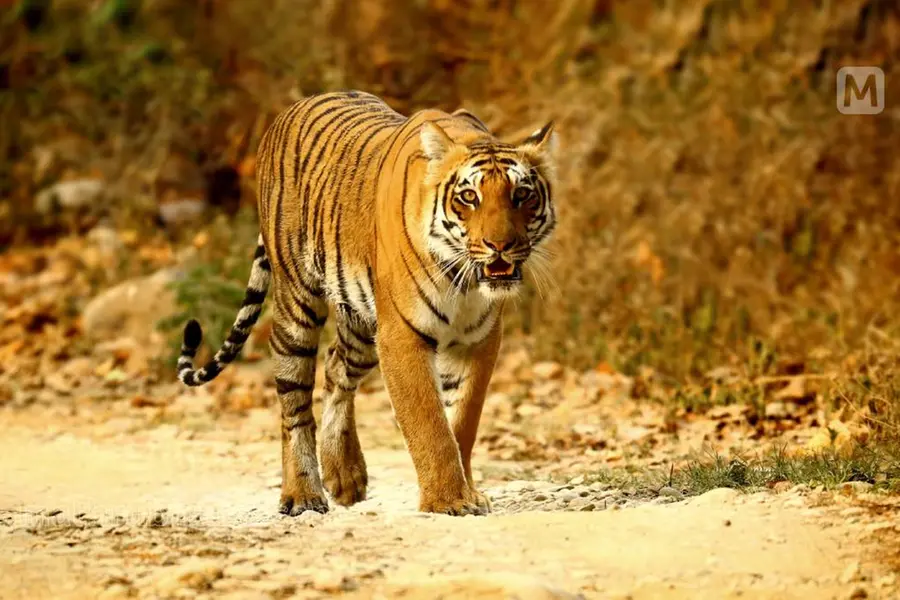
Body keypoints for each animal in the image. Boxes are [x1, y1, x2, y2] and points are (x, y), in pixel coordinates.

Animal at [176, 90, 557, 516]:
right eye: (469, 197)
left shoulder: (479, 339)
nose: (500, 245)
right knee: (294, 404)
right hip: (298, 306)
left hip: (362, 327)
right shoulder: (402, 336)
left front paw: (468, 492)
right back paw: (302, 494)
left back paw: (345, 477)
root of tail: (287, 112)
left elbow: (462, 421)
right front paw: (448, 500)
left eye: (521, 195)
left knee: (336, 371)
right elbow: (429, 423)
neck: (465, 282)